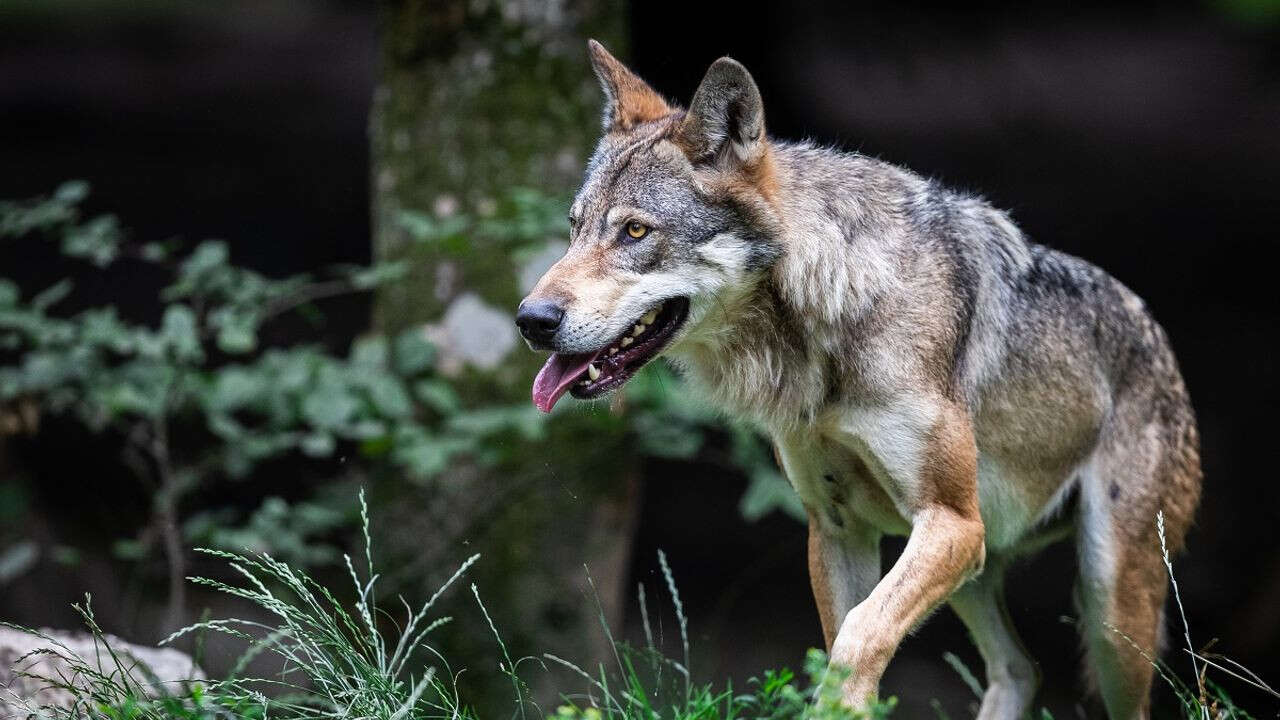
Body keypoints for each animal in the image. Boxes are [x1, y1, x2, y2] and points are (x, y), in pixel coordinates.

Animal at [512, 40, 1198, 717]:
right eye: (575, 228)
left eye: (635, 231)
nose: (531, 320)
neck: (825, 323)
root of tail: (1159, 339)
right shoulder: (839, 525)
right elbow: (839, 641)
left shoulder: (951, 521)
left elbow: (859, 635)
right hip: (982, 569)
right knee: (1019, 670)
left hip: (1104, 604)